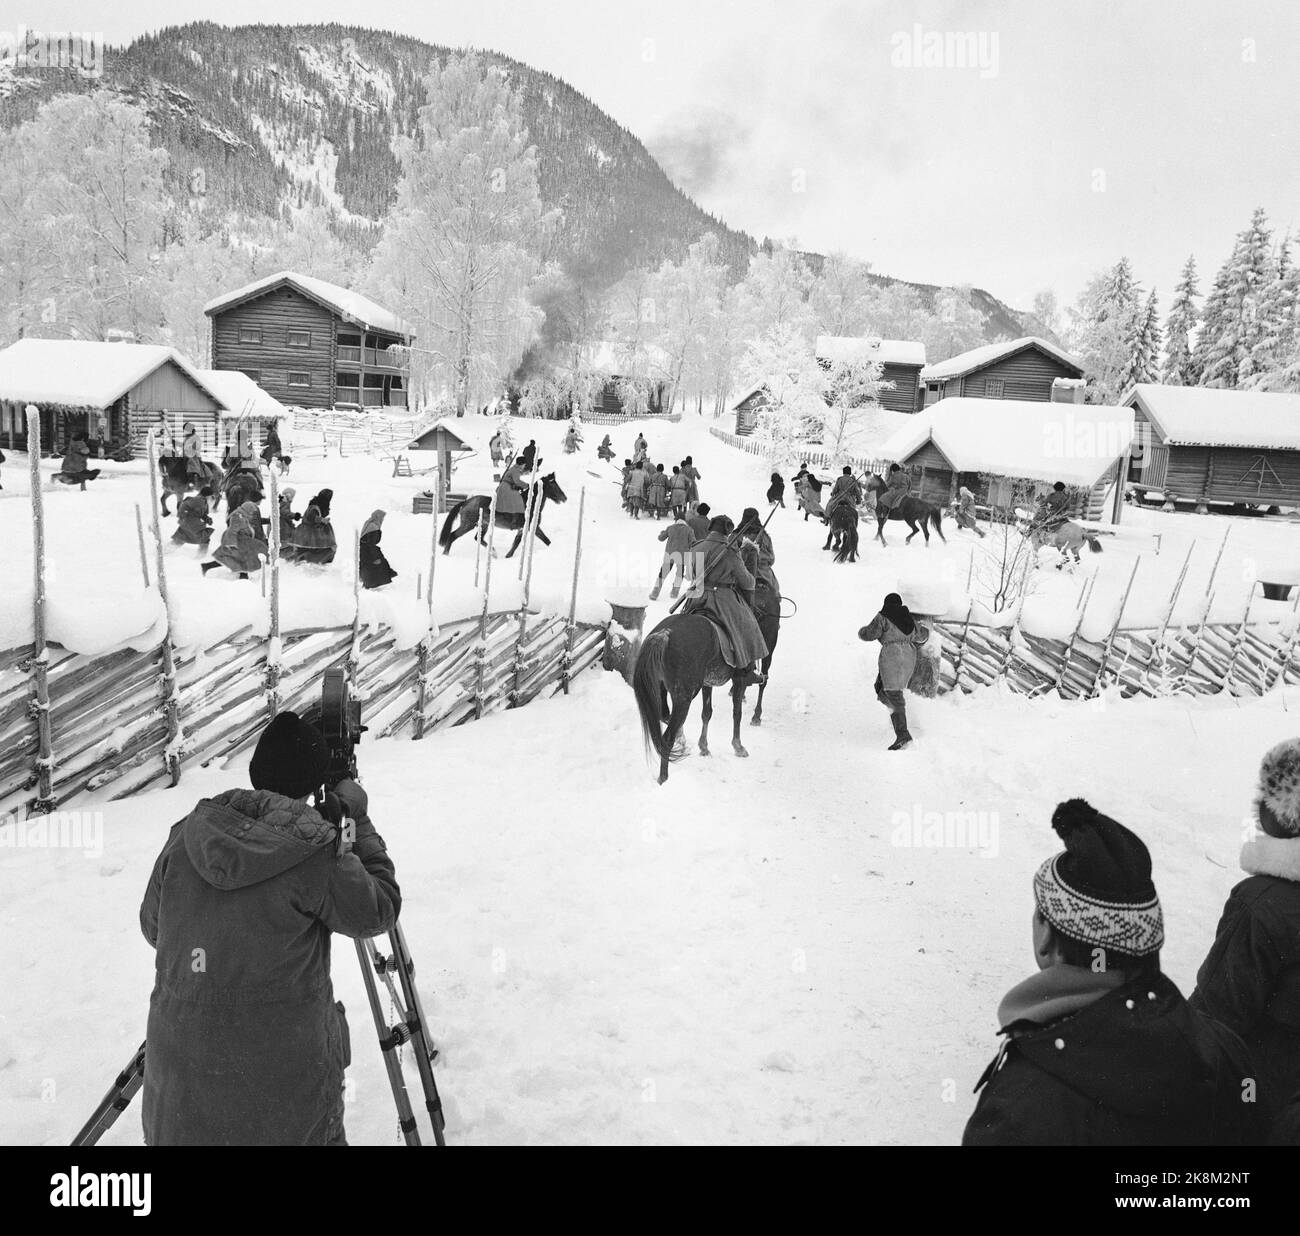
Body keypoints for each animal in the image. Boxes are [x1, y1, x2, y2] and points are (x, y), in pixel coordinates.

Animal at [629, 616, 759, 790]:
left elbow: (707, 713)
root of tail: (664, 634)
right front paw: (738, 747)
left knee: (666, 716)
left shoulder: (707, 683)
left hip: (664, 688)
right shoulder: (740, 679)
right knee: (667, 737)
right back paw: (664, 777)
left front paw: (704, 747)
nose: (759, 677)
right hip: (684, 697)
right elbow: (737, 713)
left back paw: (681, 742)